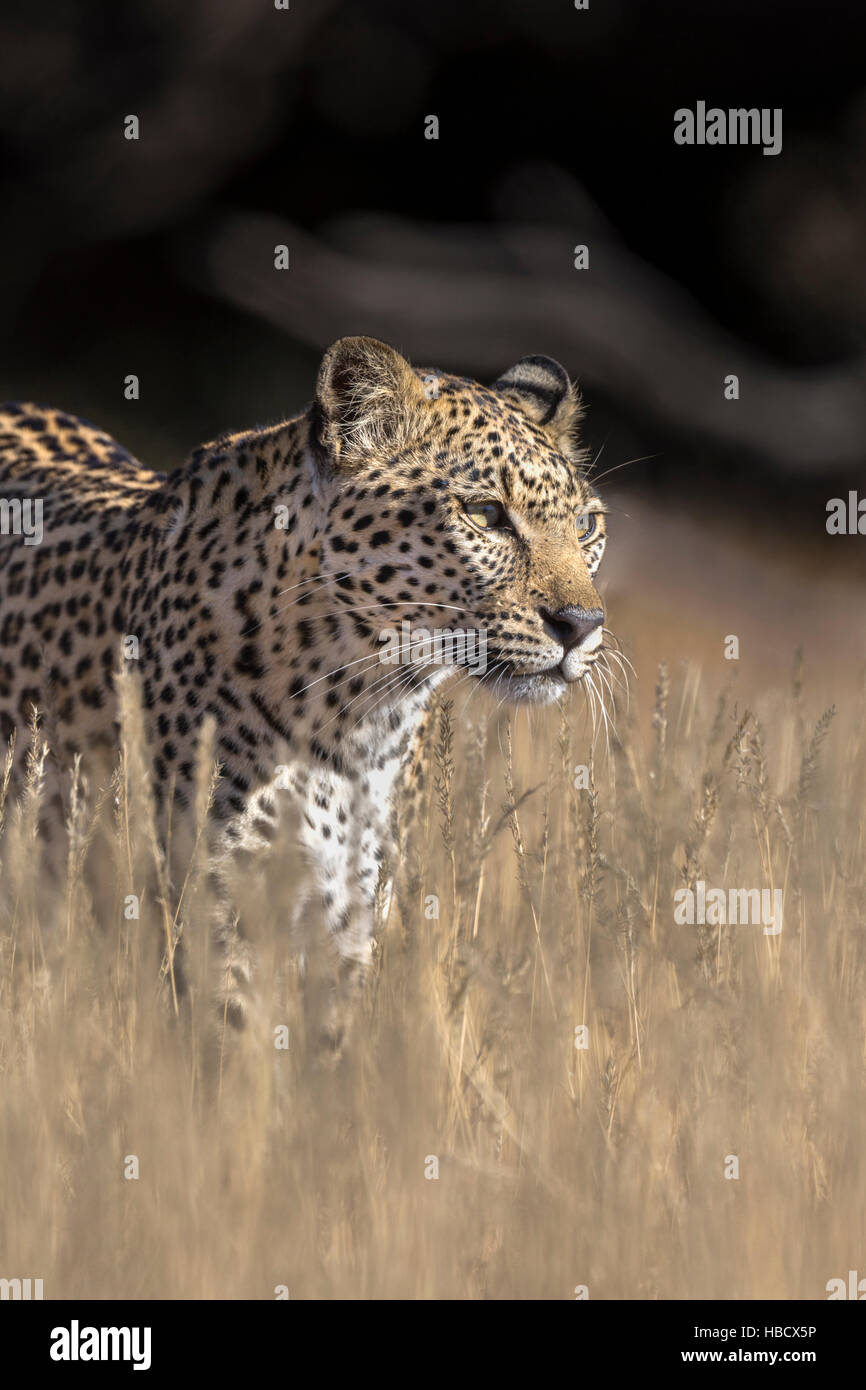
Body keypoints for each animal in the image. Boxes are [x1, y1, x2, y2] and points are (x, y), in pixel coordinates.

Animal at [0, 336, 608, 1050]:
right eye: (486, 514)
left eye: (587, 524)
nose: (582, 624)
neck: (355, 715)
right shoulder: (215, 911)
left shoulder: (352, 922)